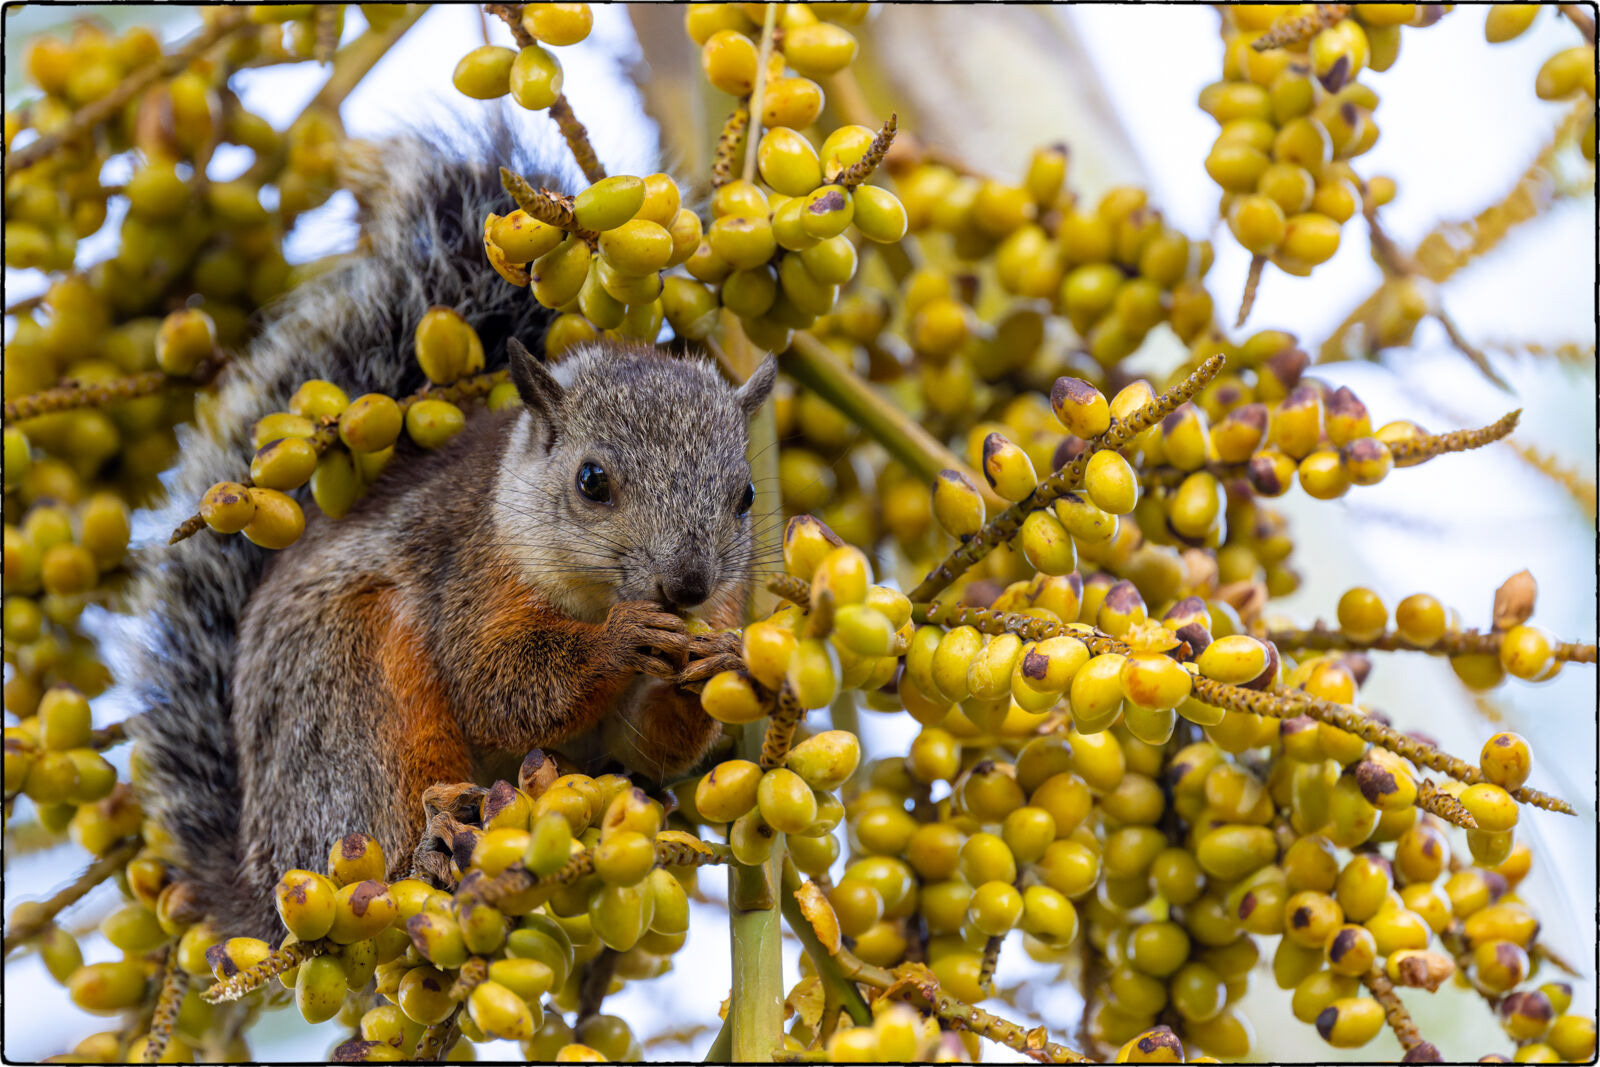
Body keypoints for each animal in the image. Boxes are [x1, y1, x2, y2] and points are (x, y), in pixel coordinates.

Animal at [123, 126, 776, 943]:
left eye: (745, 495)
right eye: (592, 480)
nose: (687, 585)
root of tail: (257, 885)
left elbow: (649, 742)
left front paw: (721, 659)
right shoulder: (470, 576)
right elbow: (502, 687)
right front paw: (618, 640)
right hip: (346, 694)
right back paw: (427, 849)